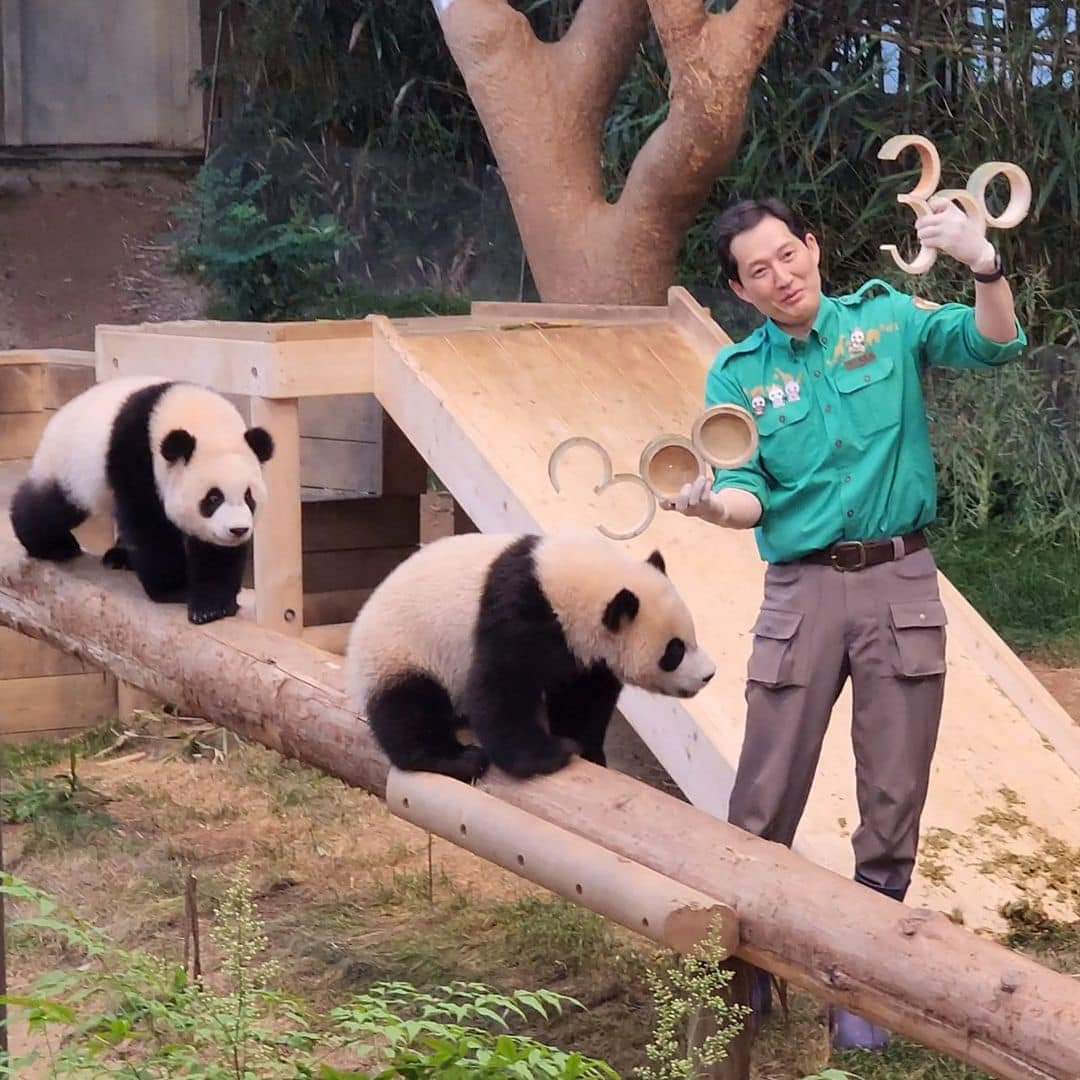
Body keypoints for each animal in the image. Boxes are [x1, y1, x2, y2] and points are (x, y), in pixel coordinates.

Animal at [345, 529, 717, 777]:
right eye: (674, 651)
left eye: (693, 636)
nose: (708, 675)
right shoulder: (520, 611)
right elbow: (502, 686)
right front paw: (549, 755)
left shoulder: (579, 650)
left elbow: (582, 698)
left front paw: (589, 751)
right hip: (400, 652)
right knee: (409, 707)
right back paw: (456, 758)